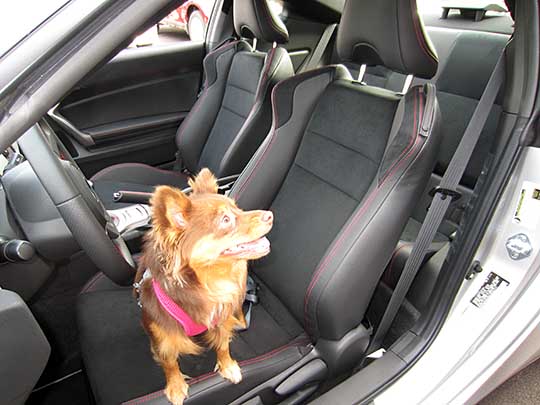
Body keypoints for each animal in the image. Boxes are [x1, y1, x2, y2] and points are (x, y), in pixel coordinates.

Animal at [133, 168, 272, 404]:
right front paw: (176, 385)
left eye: (239, 209)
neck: (210, 282)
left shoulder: (221, 314)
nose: (270, 215)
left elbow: (223, 344)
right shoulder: (163, 336)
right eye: (225, 220)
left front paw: (228, 366)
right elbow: (169, 361)